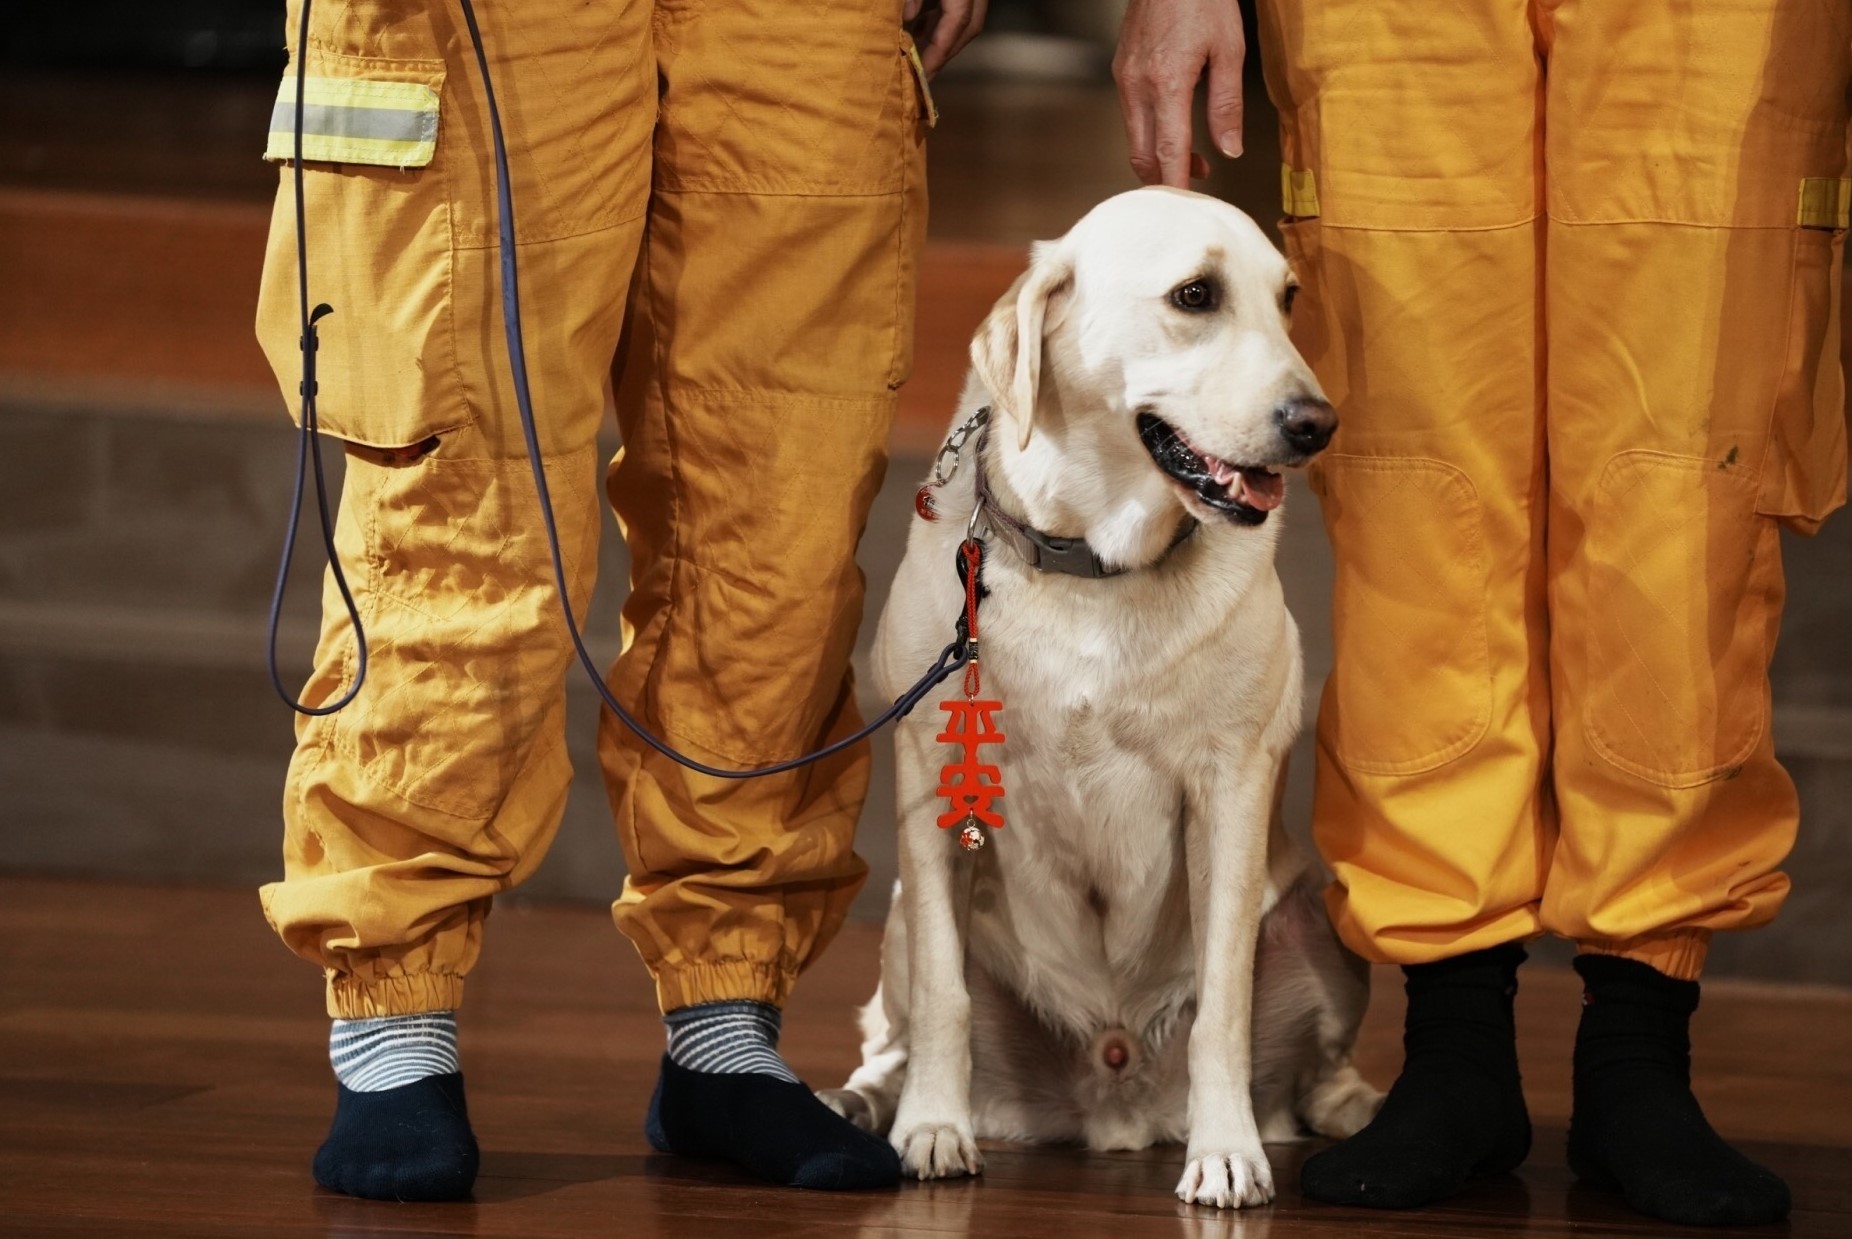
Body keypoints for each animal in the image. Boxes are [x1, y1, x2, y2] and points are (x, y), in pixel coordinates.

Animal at [818, 188, 1385, 1200]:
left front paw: (1226, 1150)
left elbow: (1223, 1005)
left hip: (1319, 924)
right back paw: (863, 1102)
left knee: (1314, 1064)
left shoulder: (1230, 788)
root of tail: (1113, 1101)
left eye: (1288, 299)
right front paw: (933, 1126)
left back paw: (1349, 1111)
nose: (1318, 422)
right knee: (892, 1031)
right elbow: (945, 995)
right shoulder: (931, 783)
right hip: (899, 918)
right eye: (1195, 295)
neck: (1094, 565)